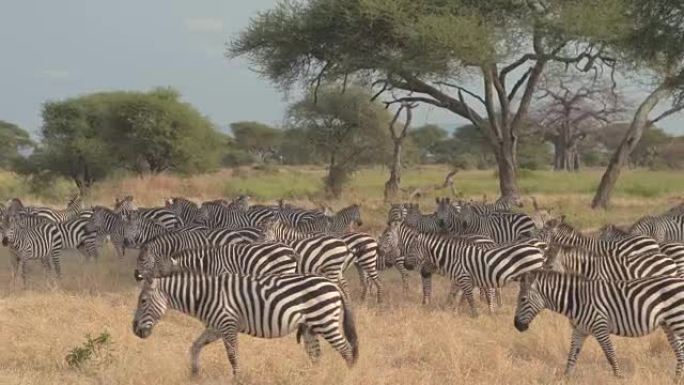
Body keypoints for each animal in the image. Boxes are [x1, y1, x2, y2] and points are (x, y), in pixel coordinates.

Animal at [131, 272, 360, 376]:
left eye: (143, 301)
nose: (134, 330)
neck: (204, 296)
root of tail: (334, 285)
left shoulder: (227, 324)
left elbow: (233, 356)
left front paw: (237, 378)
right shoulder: (215, 327)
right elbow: (195, 346)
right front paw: (194, 373)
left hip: (326, 321)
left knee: (347, 350)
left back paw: (348, 376)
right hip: (311, 327)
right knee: (316, 355)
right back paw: (313, 377)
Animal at [406, 225, 544, 316]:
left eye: (411, 248)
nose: (406, 266)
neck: (453, 257)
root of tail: (538, 250)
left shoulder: (464, 278)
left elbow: (469, 298)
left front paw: (475, 315)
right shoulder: (463, 280)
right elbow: (457, 296)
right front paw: (452, 310)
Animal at [512, 272, 684, 376]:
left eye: (523, 299)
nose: (517, 326)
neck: (576, 301)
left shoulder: (600, 327)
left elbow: (610, 355)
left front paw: (618, 377)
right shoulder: (579, 331)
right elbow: (572, 355)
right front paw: (566, 377)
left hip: (678, 319)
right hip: (669, 324)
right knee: (679, 350)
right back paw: (676, 378)